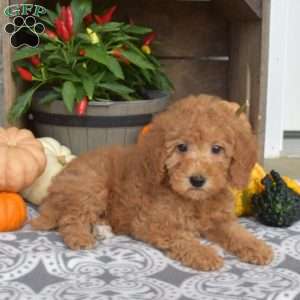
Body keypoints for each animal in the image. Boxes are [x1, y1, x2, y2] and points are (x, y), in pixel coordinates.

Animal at [31, 95, 274, 270]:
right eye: (181, 147)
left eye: (217, 149)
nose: (197, 180)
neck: (194, 200)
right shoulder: (153, 223)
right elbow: (182, 237)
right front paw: (204, 254)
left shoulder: (220, 220)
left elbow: (237, 232)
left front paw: (257, 247)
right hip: (91, 186)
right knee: (70, 219)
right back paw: (80, 237)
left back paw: (101, 228)